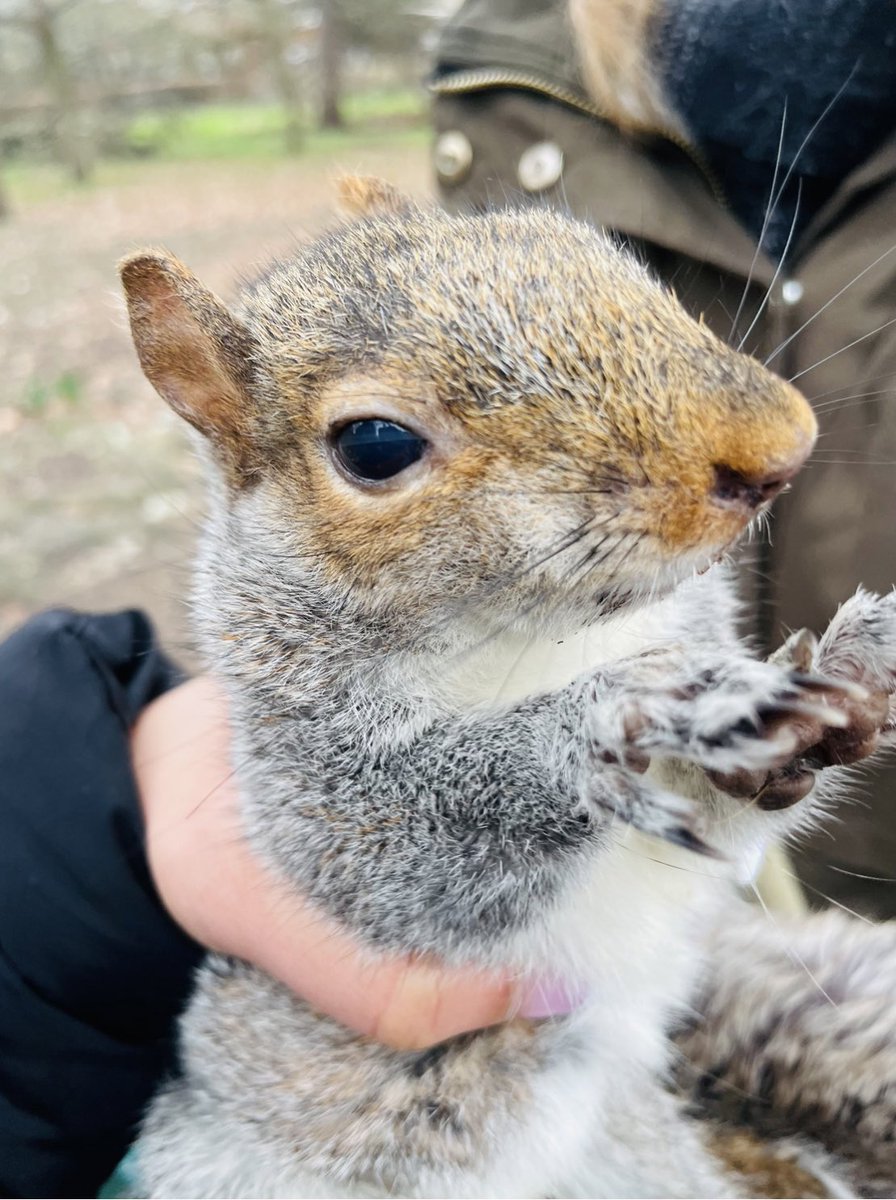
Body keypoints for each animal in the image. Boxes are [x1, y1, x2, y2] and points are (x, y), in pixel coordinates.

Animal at [121, 180, 896, 1200]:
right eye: (375, 445)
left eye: (601, 255)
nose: (781, 448)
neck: (541, 639)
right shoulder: (307, 801)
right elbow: (415, 865)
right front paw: (607, 721)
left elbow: (722, 837)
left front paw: (848, 665)